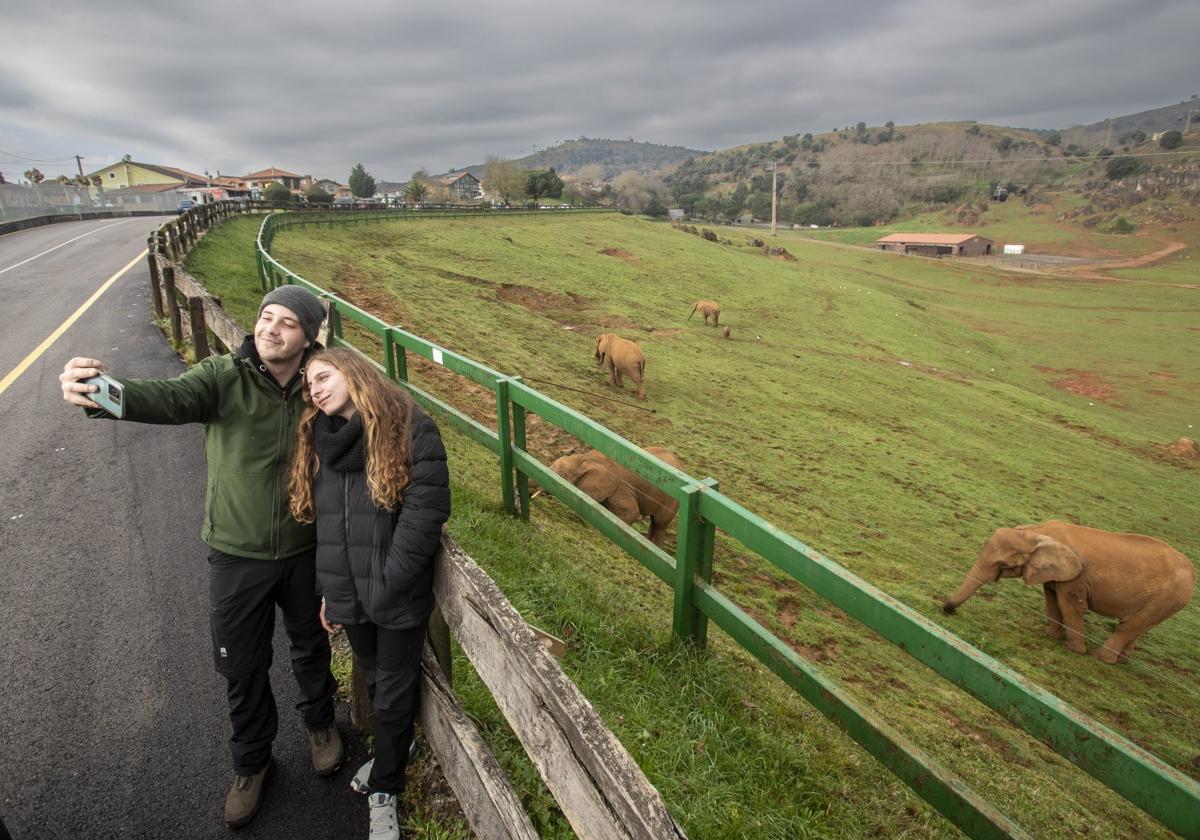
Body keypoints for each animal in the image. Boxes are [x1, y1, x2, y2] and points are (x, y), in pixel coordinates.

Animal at [552, 446, 686, 544]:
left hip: (672, 501)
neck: (584, 459)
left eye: (561, 476)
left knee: (659, 523)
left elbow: (631, 513)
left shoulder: (620, 488)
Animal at [940, 518, 1195, 662]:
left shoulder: (1077, 576)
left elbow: (1068, 604)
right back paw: (1122, 660)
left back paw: (1101, 658)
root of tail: (1192, 574)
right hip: (1167, 601)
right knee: (1139, 626)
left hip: (1169, 597)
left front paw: (1072, 648)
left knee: (1129, 626)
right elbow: (1051, 599)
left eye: (1003, 565)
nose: (946, 609)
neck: (1035, 532)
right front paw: (1050, 635)